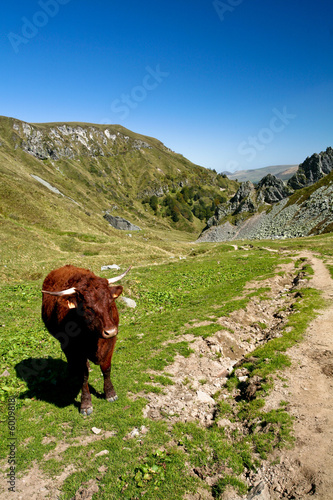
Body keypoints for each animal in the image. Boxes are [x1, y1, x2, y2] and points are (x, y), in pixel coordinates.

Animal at [40, 266, 130, 414]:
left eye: (110, 301)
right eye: (88, 307)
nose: (110, 331)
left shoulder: (111, 342)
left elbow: (106, 368)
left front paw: (110, 393)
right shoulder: (76, 349)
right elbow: (83, 376)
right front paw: (86, 404)